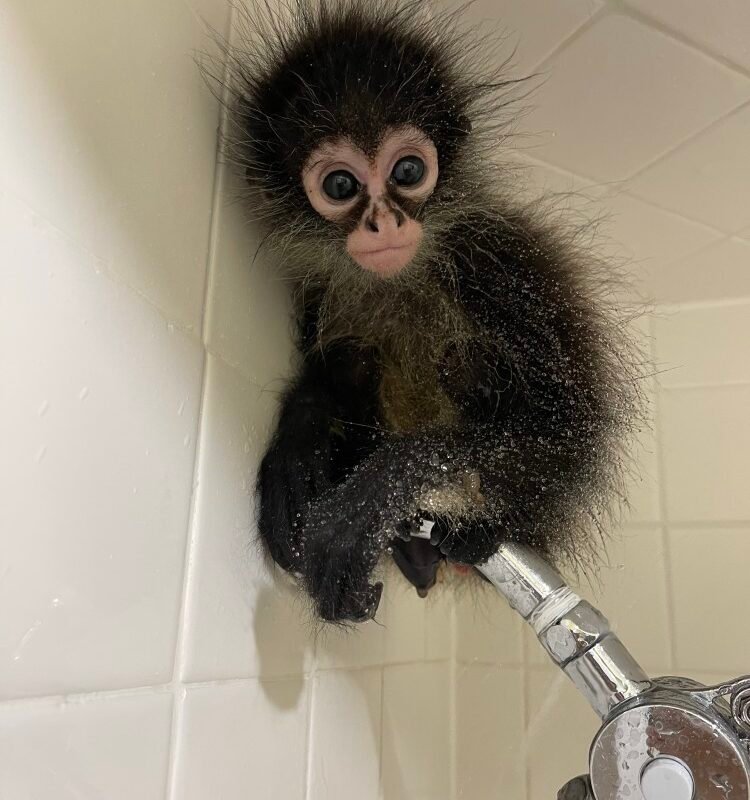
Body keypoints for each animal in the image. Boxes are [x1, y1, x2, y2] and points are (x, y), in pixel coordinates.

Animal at [215, 0, 644, 623]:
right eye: (340, 184)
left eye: (409, 172)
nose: (384, 224)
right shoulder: (322, 287)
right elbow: (328, 372)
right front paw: (297, 443)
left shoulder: (498, 265)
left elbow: (568, 427)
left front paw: (382, 486)